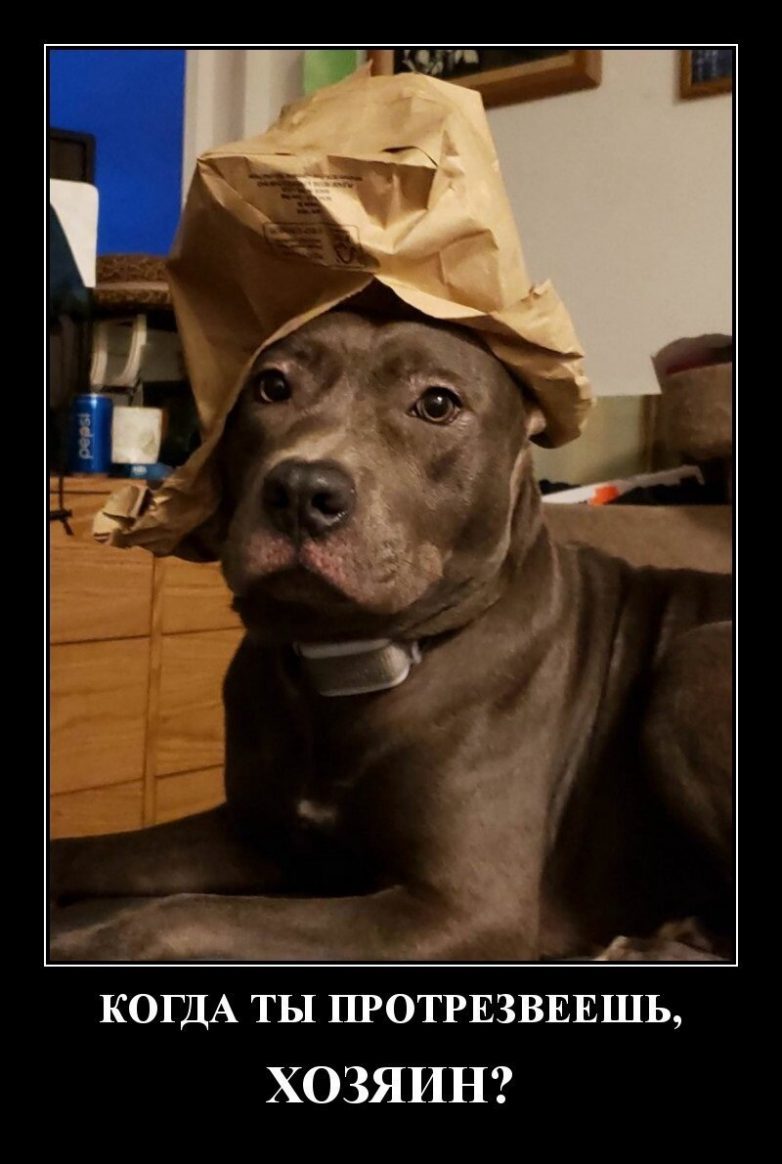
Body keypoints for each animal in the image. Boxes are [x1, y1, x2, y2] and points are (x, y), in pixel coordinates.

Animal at [50, 310, 733, 962]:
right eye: (272, 387)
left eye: (437, 404)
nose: (301, 489)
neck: (344, 665)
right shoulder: (252, 835)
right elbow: (93, 853)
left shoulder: (458, 912)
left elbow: (183, 916)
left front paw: (87, 941)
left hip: (693, 660)